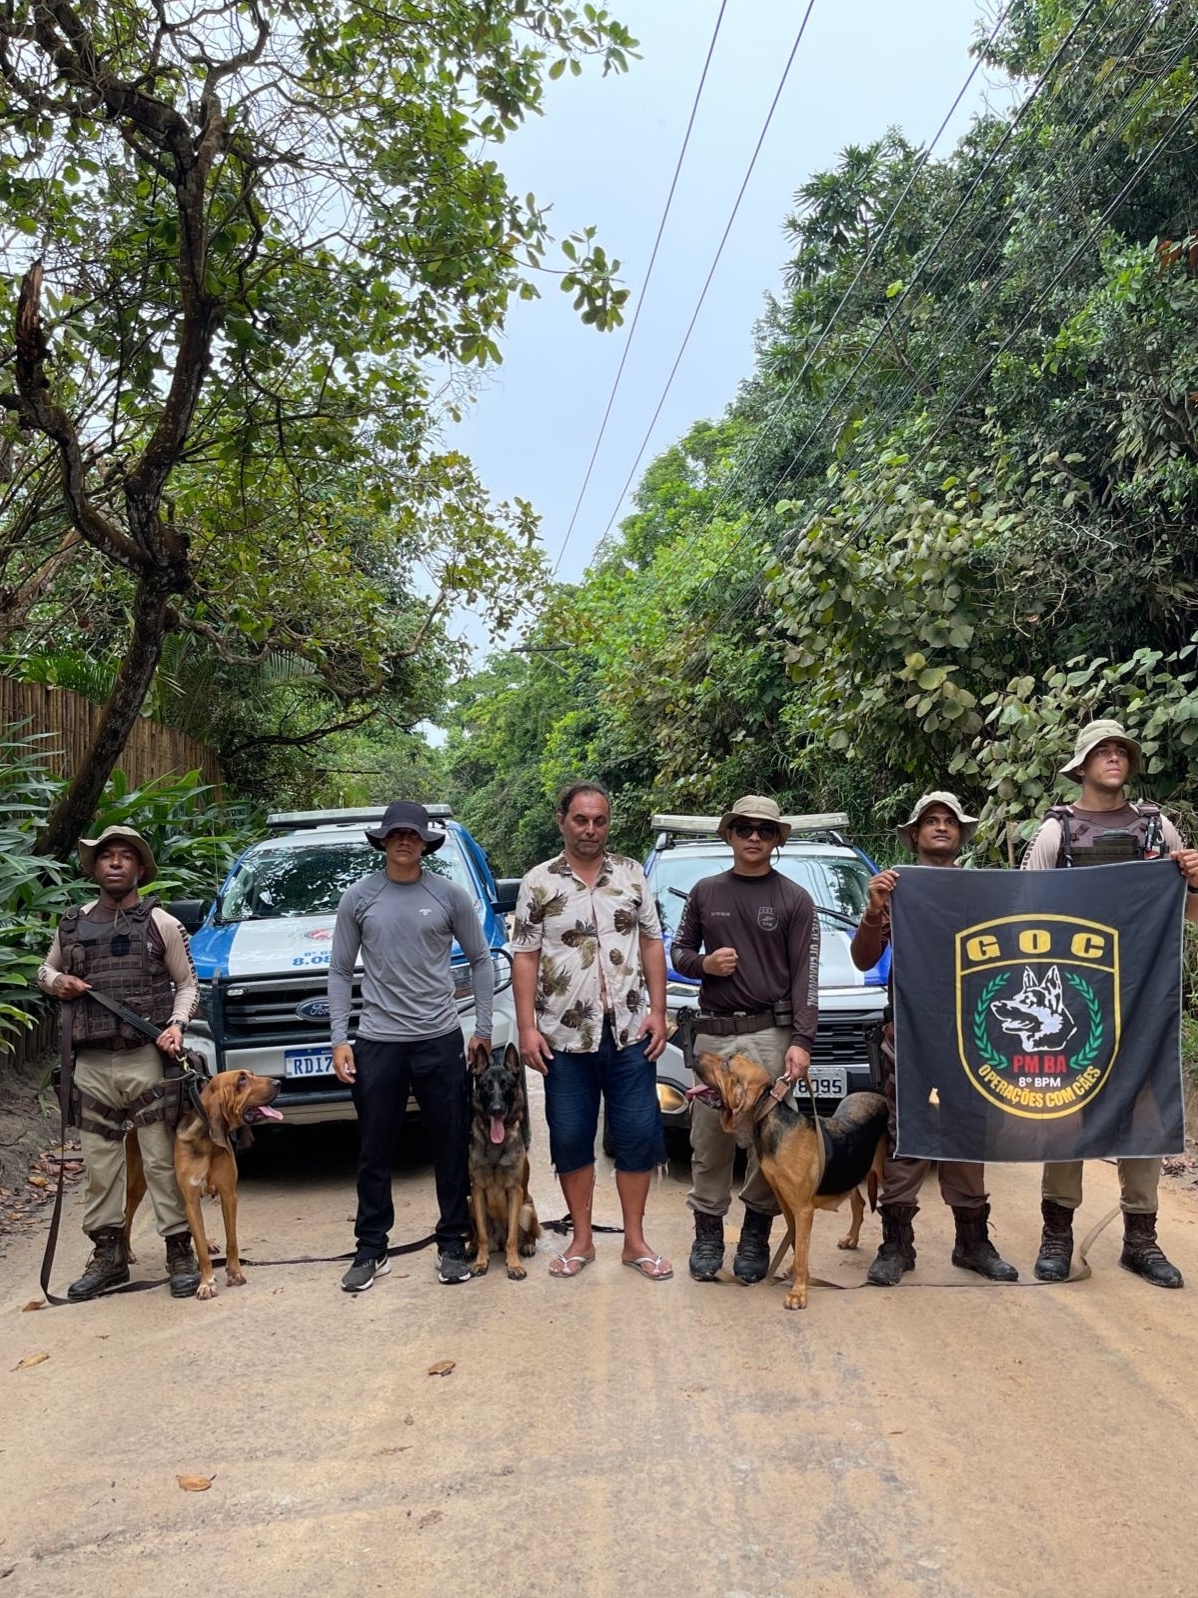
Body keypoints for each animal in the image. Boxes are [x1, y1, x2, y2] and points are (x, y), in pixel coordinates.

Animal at [125, 1073, 282, 1297]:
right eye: (242, 1080)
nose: (279, 1083)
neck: (207, 1142)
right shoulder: (191, 1200)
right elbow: (199, 1246)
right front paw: (206, 1282)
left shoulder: (228, 1195)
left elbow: (232, 1241)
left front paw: (235, 1273)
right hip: (137, 1185)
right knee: (126, 1218)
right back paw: (128, 1253)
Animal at [469, 1041, 543, 1278]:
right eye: (485, 1085)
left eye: (506, 1085)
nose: (497, 1110)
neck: (495, 1146)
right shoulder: (477, 1190)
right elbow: (482, 1235)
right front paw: (481, 1262)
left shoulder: (515, 1191)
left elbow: (512, 1237)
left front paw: (514, 1265)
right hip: (470, 1202)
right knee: (475, 1234)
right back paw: (471, 1248)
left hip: (527, 1209)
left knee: (526, 1235)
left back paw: (527, 1246)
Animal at [693, 1048, 894, 1310]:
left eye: (727, 1064)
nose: (693, 1054)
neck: (771, 1119)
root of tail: (877, 1096)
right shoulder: (787, 1204)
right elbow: (796, 1243)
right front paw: (799, 1276)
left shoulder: (803, 1210)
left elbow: (801, 1252)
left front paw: (798, 1293)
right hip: (849, 1172)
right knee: (858, 1203)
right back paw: (851, 1238)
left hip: (883, 1172)